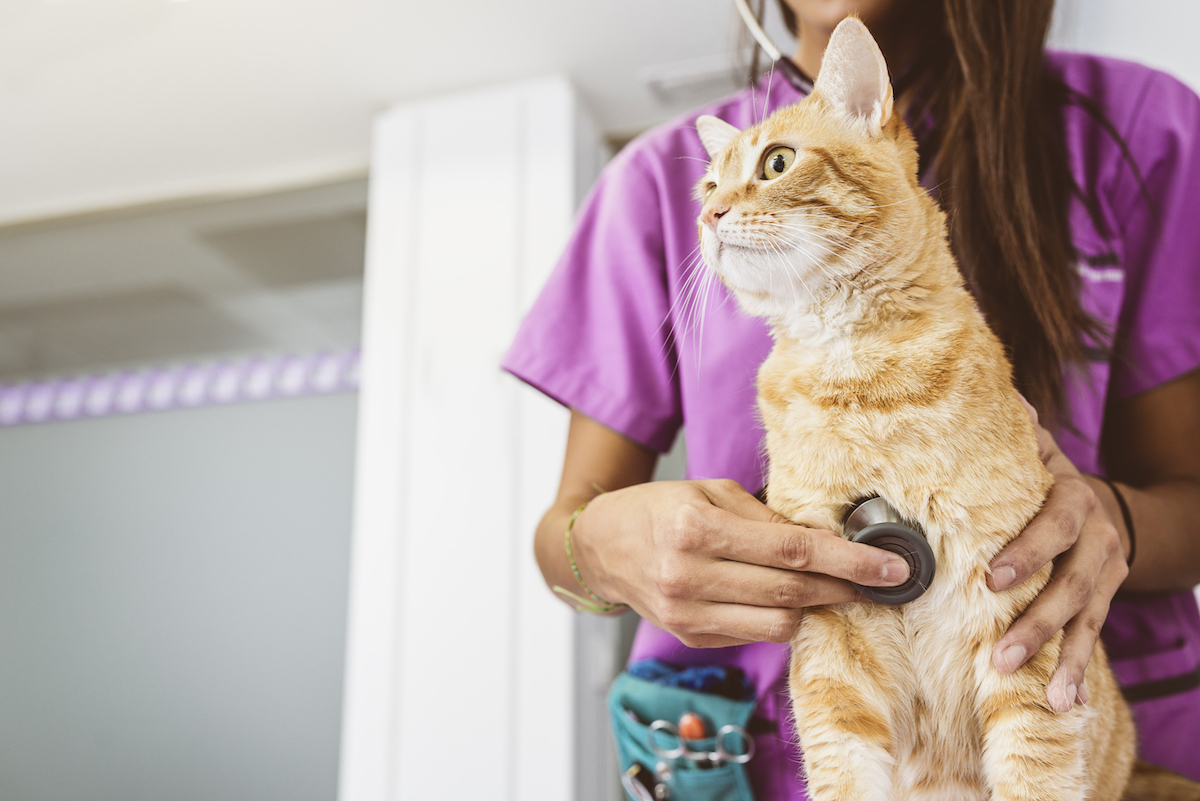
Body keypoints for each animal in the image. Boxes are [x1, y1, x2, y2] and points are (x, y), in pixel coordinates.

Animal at [696, 15, 1161, 796]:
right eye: (706, 182)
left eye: (777, 162)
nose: (709, 213)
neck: (856, 377)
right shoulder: (832, 655)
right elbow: (843, 771)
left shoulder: (1019, 640)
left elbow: (1035, 771)